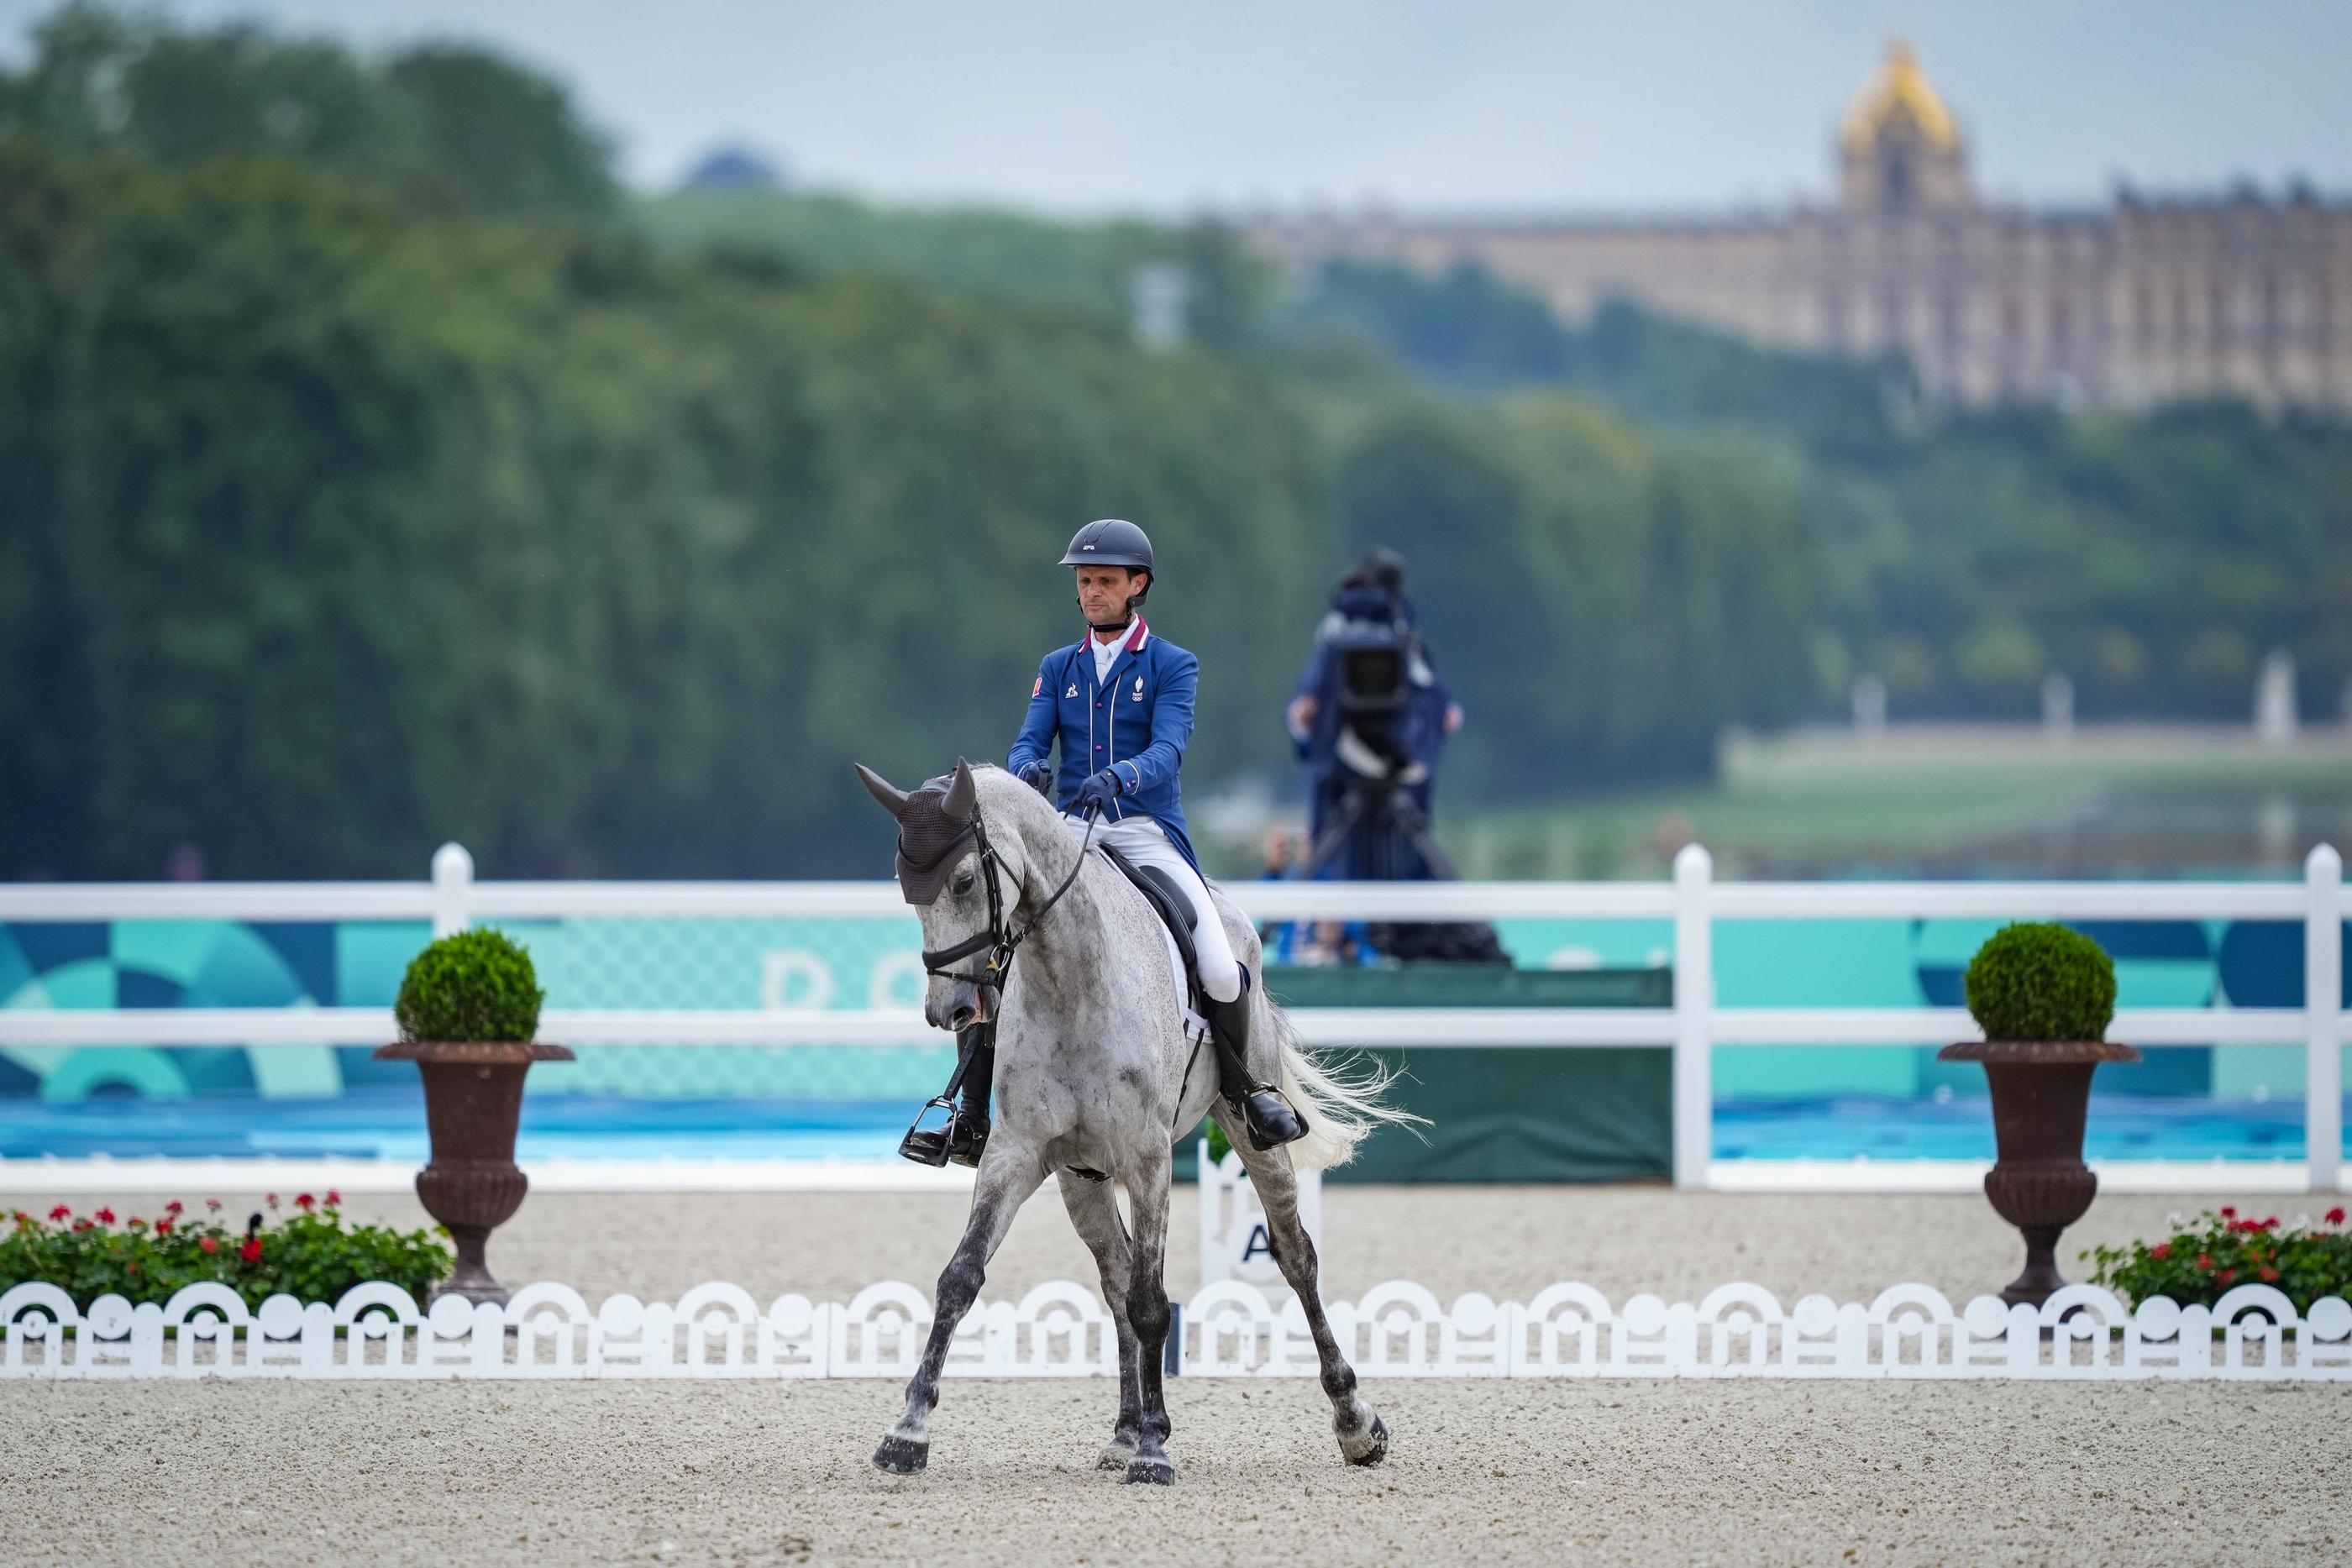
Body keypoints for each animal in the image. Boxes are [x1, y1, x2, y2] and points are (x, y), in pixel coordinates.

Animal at [865, 761, 1411, 1486]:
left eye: (961, 881)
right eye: (908, 890)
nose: (948, 1010)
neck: (1068, 978)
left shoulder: (1148, 1159)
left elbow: (1154, 1302)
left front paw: (1155, 1451)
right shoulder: (1016, 1152)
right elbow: (962, 1277)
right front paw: (907, 1432)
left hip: (1250, 1135)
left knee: (1295, 1257)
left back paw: (1353, 1422)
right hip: (1081, 1177)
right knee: (1117, 1276)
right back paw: (1127, 1428)